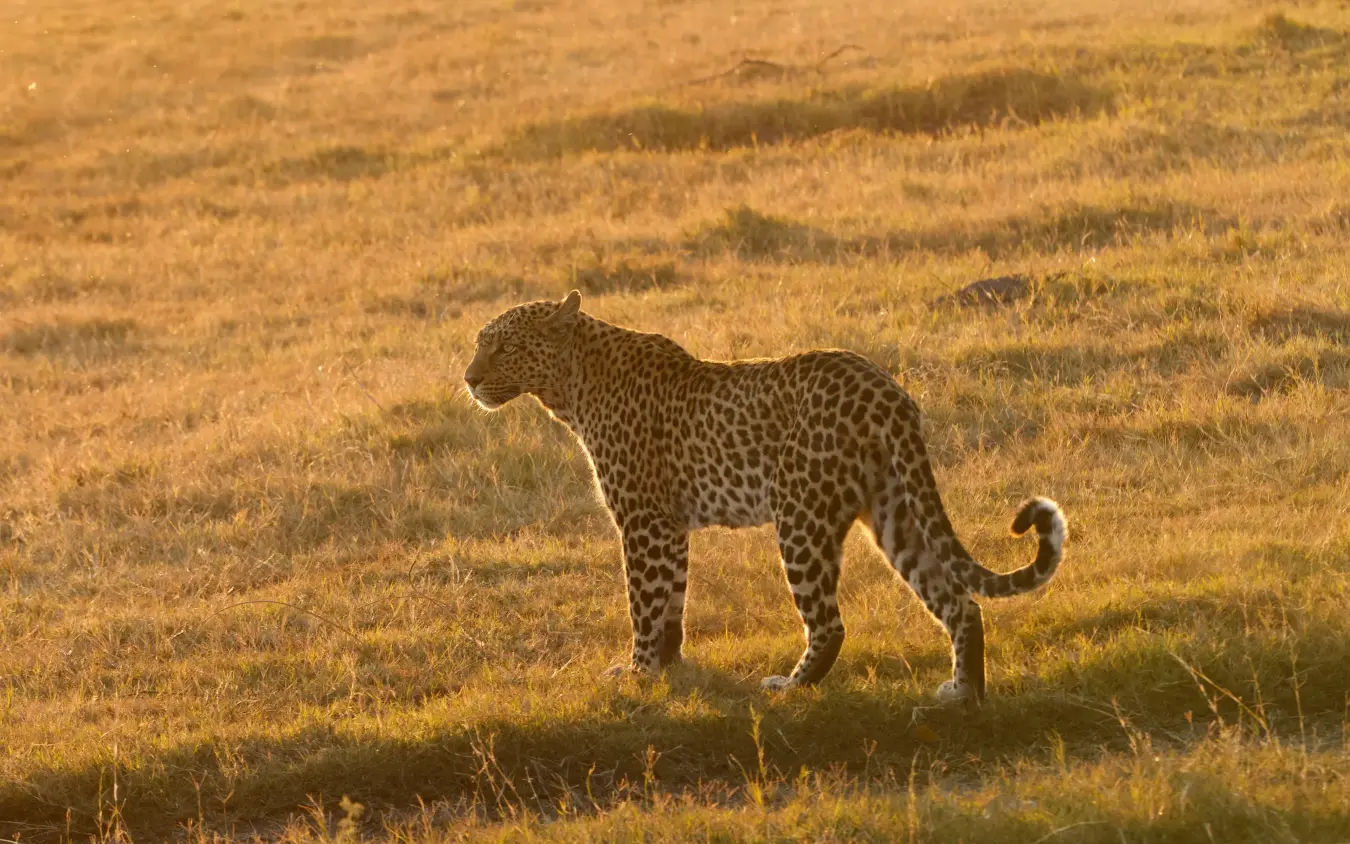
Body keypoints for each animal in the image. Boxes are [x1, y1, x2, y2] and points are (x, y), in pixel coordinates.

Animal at [463, 290, 1067, 704]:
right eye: (479, 345)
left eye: (505, 346)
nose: (469, 379)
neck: (571, 388)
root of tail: (887, 391)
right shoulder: (670, 527)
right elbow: (672, 603)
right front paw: (669, 670)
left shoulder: (644, 521)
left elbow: (644, 603)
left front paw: (637, 676)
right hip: (895, 511)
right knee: (960, 603)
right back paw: (963, 694)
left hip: (800, 515)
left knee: (829, 622)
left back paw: (788, 688)